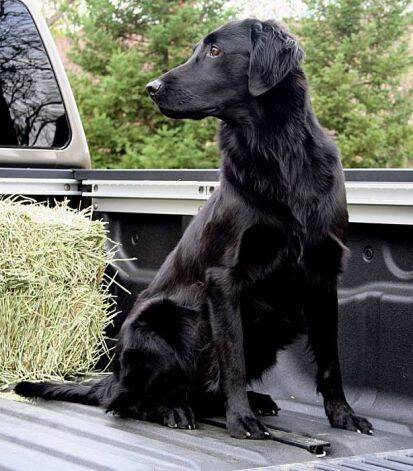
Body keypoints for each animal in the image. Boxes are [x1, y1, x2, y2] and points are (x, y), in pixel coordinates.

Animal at [15, 18, 374, 438]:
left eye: (215, 51)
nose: (151, 87)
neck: (277, 152)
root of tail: (112, 377)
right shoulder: (224, 277)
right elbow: (232, 357)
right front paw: (241, 420)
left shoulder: (323, 271)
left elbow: (331, 360)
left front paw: (343, 415)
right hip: (157, 325)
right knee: (125, 402)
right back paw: (174, 409)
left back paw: (251, 401)